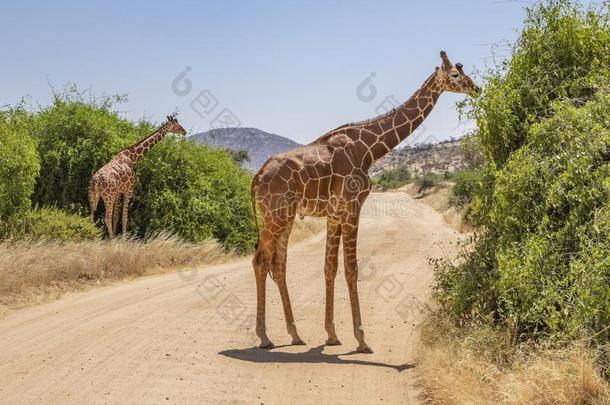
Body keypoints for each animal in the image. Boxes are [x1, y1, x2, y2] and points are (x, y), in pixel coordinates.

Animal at [249, 52, 478, 352]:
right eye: (454, 74)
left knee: (278, 264)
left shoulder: (335, 214)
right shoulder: (351, 208)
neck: (369, 148)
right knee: (259, 261)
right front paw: (361, 338)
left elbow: (330, 268)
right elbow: (352, 269)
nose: (475, 88)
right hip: (276, 215)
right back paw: (264, 337)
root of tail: (256, 177)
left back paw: (295, 334)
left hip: (284, 218)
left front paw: (332, 335)